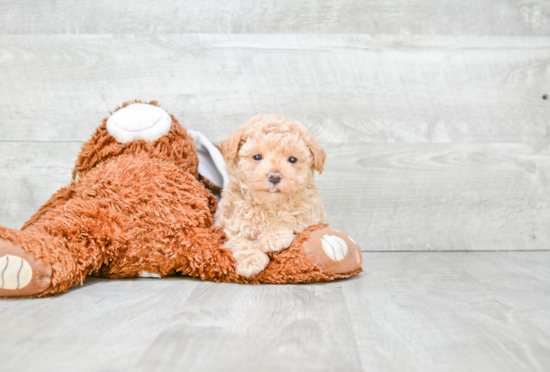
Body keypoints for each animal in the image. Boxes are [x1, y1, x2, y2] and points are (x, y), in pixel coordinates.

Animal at [216, 115, 328, 278]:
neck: (268, 205)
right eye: (257, 157)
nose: (274, 176)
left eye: (292, 160)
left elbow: (291, 216)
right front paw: (251, 261)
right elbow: (239, 240)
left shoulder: (311, 213)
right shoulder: (230, 223)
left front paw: (274, 237)